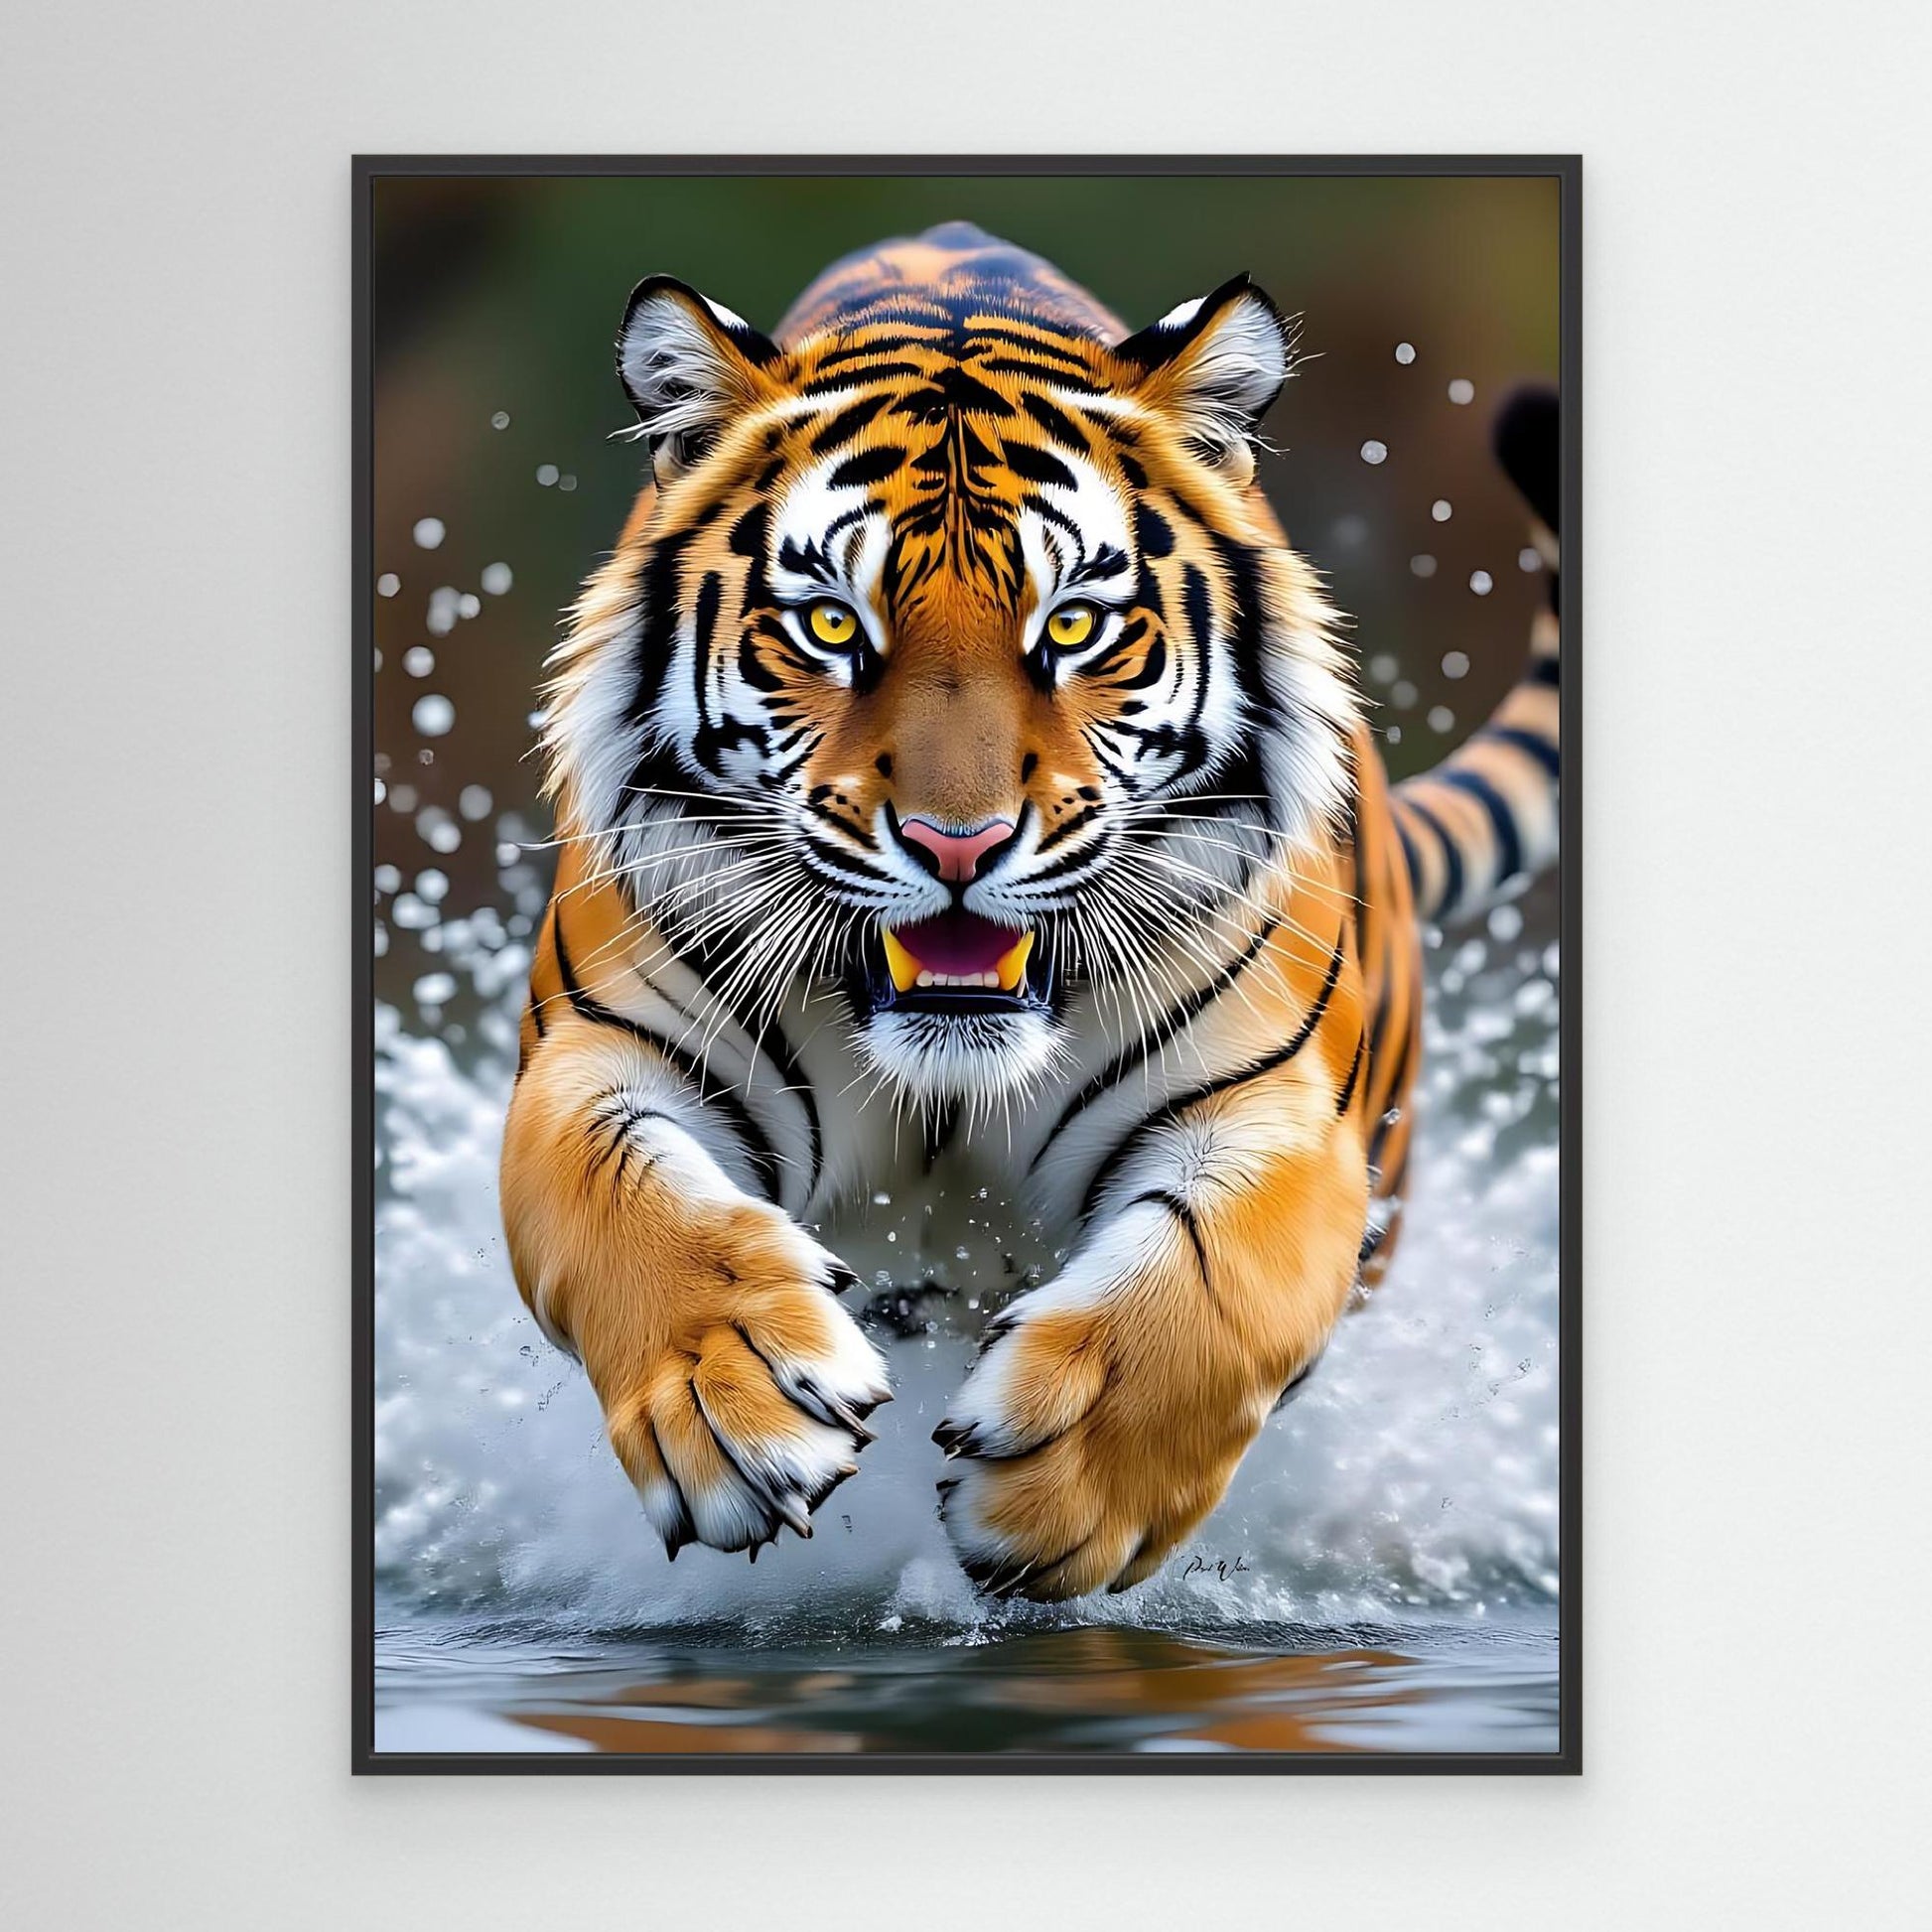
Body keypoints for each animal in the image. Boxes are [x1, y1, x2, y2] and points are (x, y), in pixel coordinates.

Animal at [500, 221, 1560, 1602]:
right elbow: (626, 1206)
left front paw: (1061, 1489)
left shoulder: (1279, 1114)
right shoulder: (591, 1053)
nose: (958, 843)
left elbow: (1217, 1285)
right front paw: (733, 1401)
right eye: (830, 622)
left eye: (1073, 625)